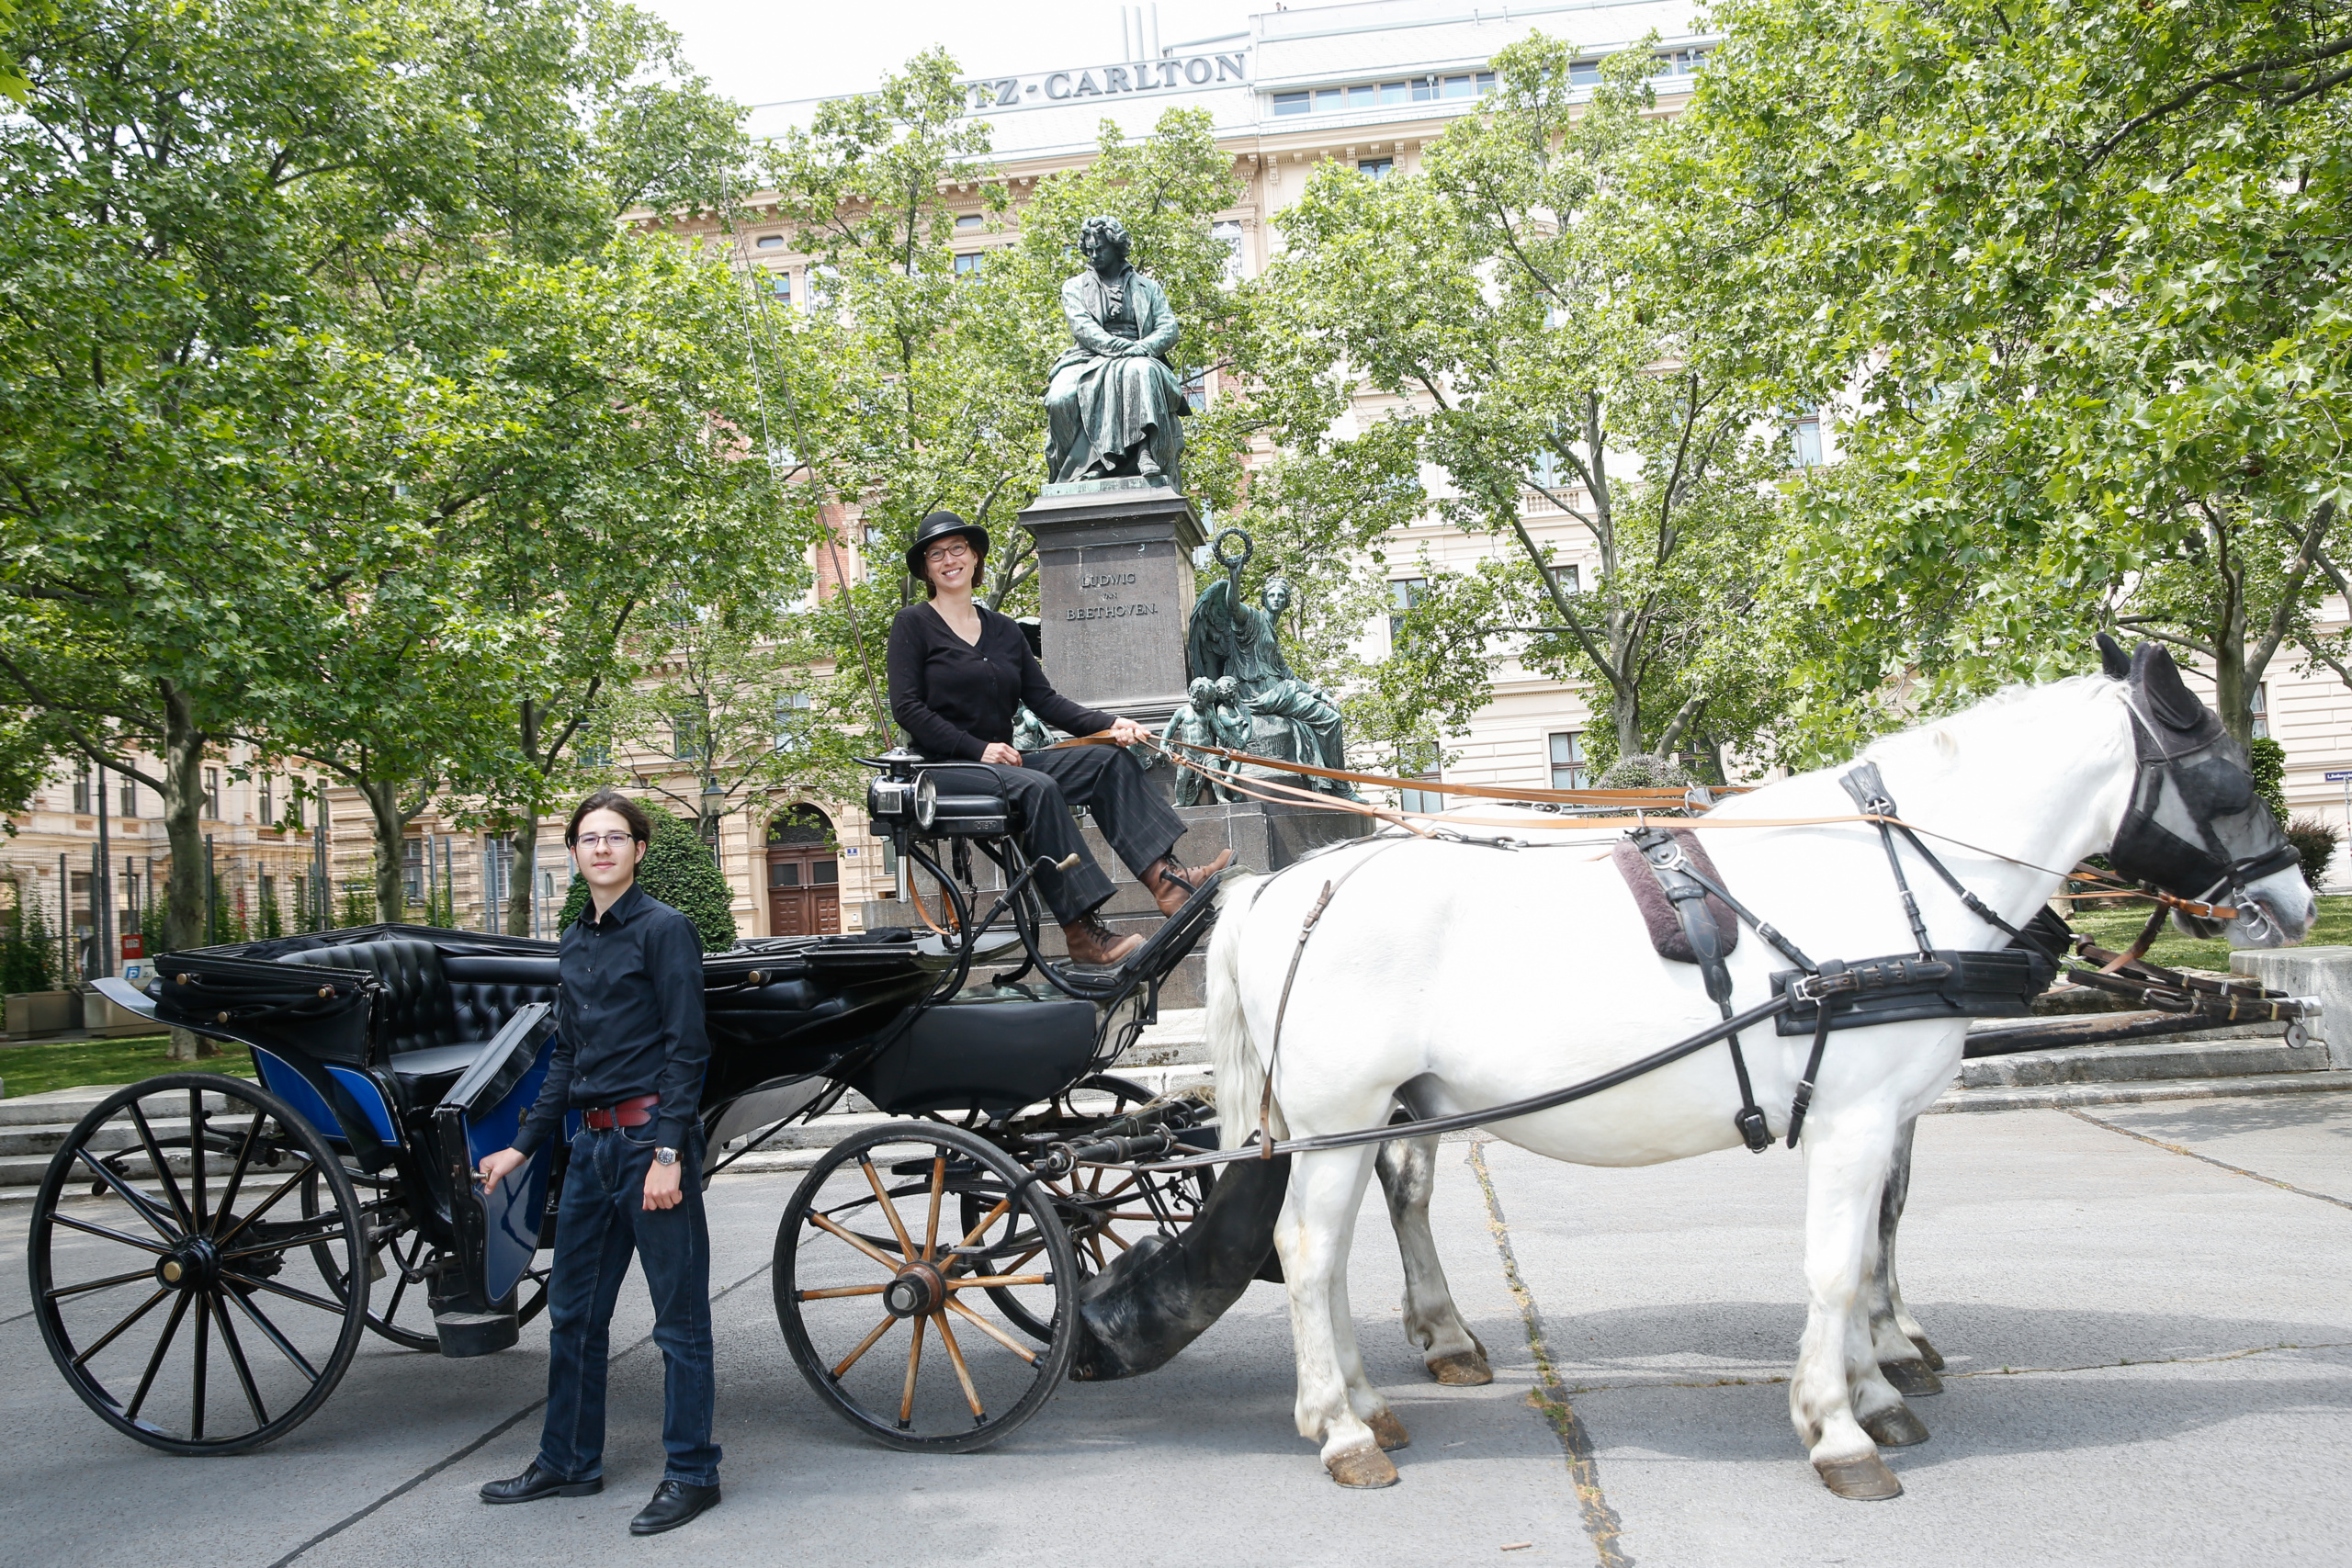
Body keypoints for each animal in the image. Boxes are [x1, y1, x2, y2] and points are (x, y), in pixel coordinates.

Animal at [1213, 649, 2314, 1495]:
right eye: (2225, 775)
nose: (2295, 901)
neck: (1894, 882)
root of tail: (1284, 886)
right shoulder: (1856, 1116)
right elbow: (1837, 1265)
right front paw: (1841, 1428)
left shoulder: (1881, 1116)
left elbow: (1868, 1251)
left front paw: (1879, 1386)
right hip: (1341, 1115)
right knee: (1309, 1251)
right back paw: (1342, 1427)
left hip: (1372, 1117)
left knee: (1346, 1242)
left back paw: (1373, 1398)